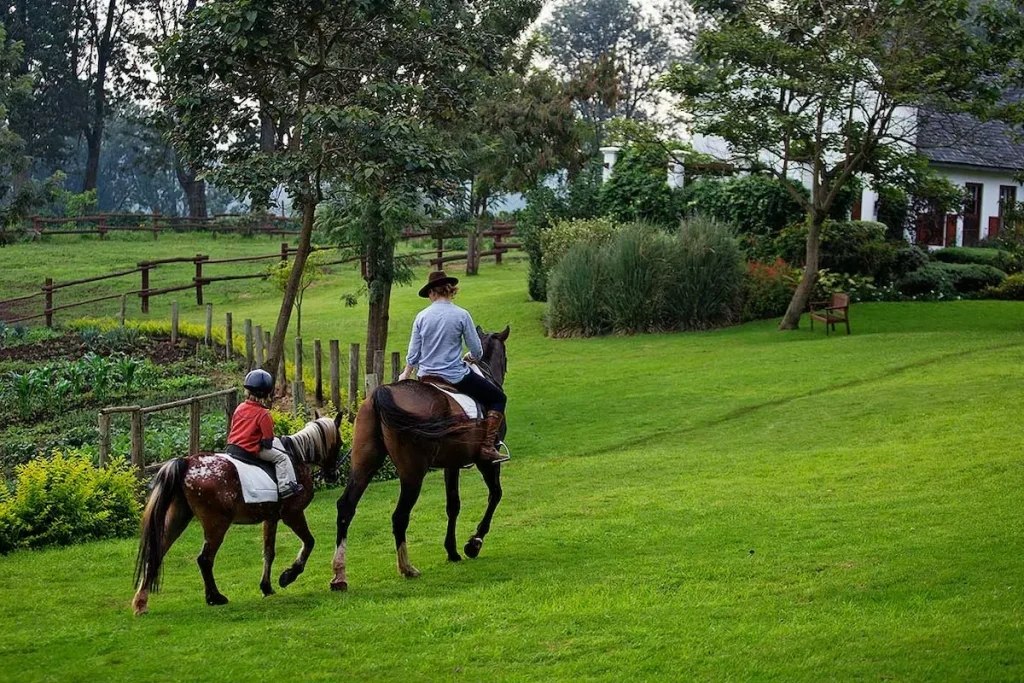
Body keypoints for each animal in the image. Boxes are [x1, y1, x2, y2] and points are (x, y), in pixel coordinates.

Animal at [130, 413, 339, 618]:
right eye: (339, 441)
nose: (333, 475)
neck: (296, 457)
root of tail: (187, 462)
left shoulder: (271, 518)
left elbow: (269, 552)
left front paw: (267, 587)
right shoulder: (292, 514)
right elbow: (309, 542)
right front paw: (289, 575)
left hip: (177, 519)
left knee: (156, 554)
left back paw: (141, 603)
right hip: (217, 524)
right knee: (204, 559)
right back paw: (215, 597)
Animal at [329, 325, 509, 589]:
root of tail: (382, 392)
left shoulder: (451, 464)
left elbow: (453, 504)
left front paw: (452, 551)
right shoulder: (486, 460)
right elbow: (495, 495)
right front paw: (473, 544)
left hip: (364, 464)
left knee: (346, 507)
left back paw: (339, 574)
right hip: (413, 472)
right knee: (399, 515)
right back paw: (407, 567)